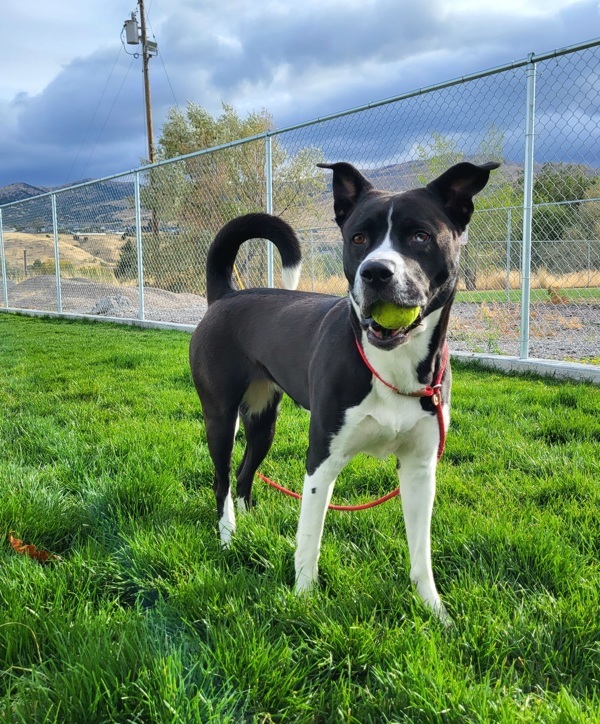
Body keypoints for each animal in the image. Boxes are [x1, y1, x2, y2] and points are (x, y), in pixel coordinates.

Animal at [190, 160, 500, 624]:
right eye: (358, 238)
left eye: (420, 236)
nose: (376, 272)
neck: (390, 363)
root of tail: (225, 296)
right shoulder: (322, 461)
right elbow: (309, 540)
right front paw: (302, 600)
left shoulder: (420, 468)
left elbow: (421, 553)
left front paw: (434, 611)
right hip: (220, 417)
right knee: (223, 479)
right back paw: (228, 534)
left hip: (264, 420)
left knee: (245, 475)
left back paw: (249, 525)